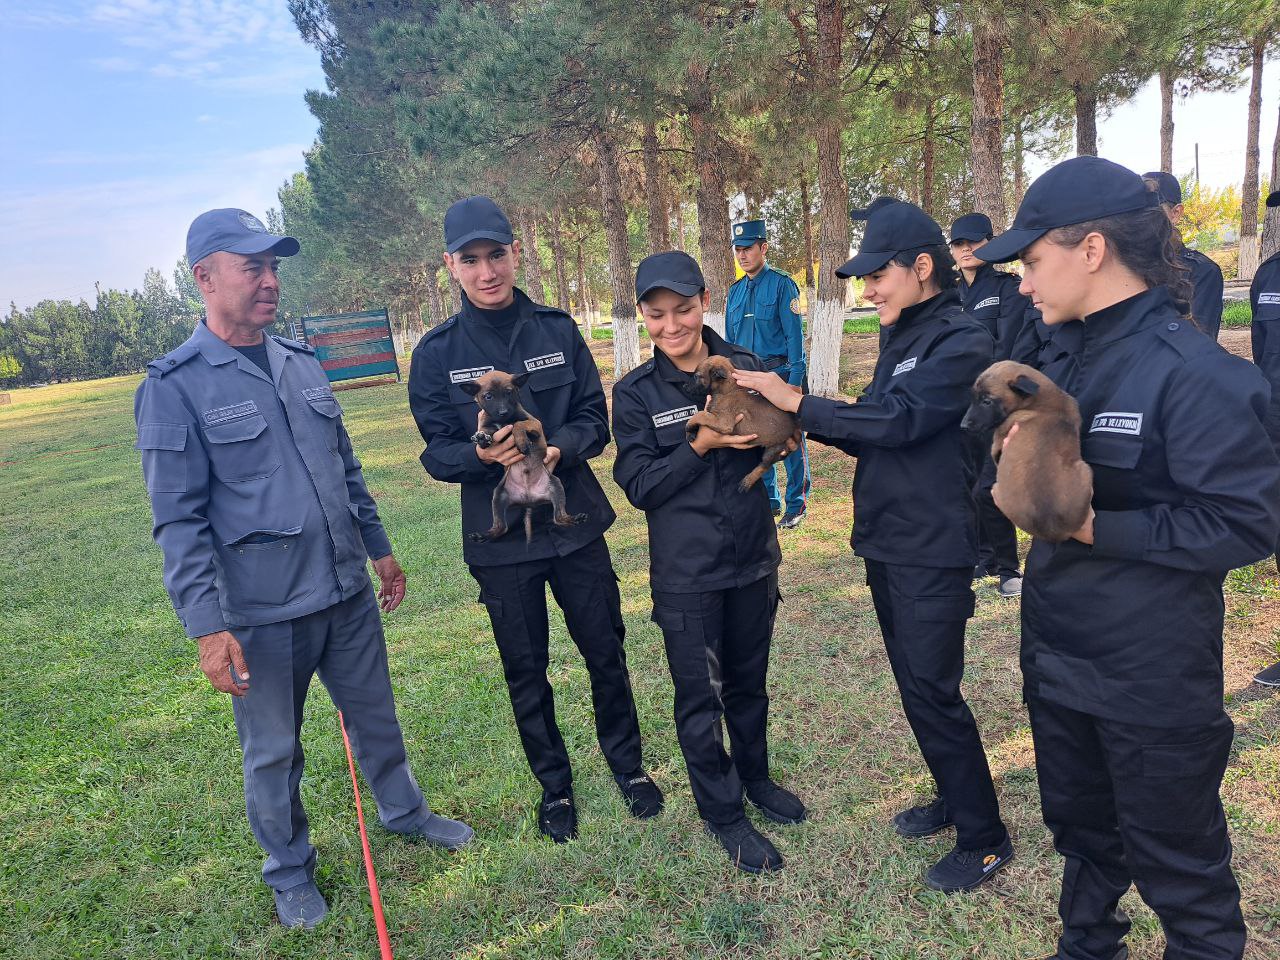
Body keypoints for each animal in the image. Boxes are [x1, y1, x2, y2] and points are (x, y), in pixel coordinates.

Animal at [686, 355, 803, 496]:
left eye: (697, 376)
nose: (684, 386)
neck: (728, 389)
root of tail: (795, 426)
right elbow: (701, 416)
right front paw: (692, 432)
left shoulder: (724, 422)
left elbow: (699, 415)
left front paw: (688, 429)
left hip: (774, 449)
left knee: (764, 466)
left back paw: (747, 482)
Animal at [962, 360, 1090, 545]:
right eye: (973, 398)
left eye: (987, 401)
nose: (963, 426)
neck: (1044, 402)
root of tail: (1054, 531)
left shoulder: (999, 441)